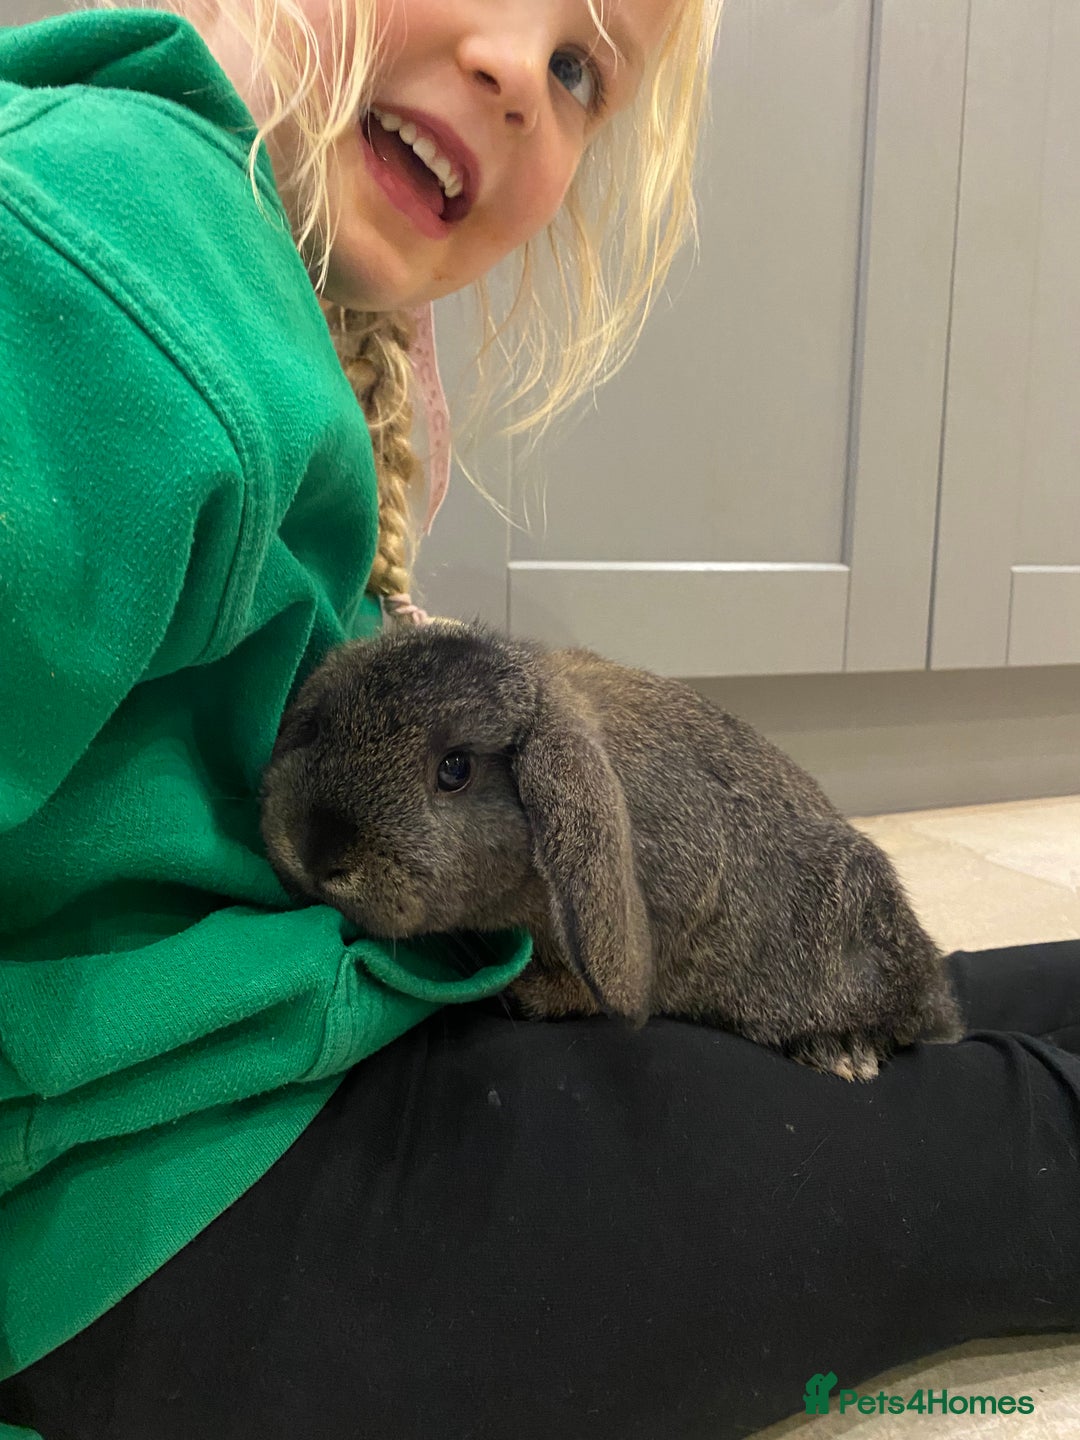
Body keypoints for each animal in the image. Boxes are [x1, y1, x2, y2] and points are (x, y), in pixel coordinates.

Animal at [260, 620, 964, 1081]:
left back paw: (841, 1052)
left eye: (455, 769)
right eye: (319, 726)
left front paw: (529, 994)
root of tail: (936, 995)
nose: (315, 852)